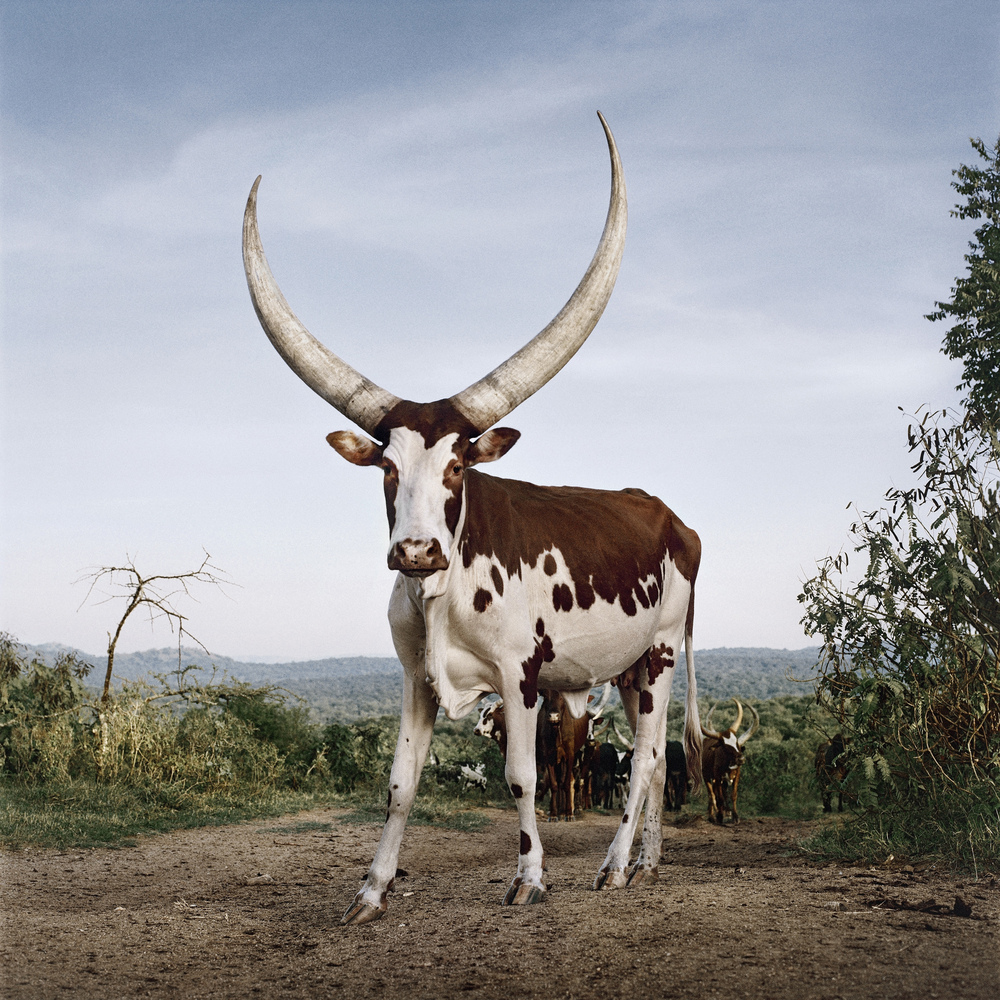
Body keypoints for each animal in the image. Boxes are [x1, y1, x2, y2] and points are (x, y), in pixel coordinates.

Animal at [243, 111, 704, 920]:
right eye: (386, 467)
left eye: (459, 466)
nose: (416, 551)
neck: (444, 591)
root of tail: (671, 517)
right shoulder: (413, 678)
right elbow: (399, 785)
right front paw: (372, 890)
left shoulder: (519, 677)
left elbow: (522, 776)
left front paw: (529, 876)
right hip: (623, 667)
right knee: (646, 765)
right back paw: (645, 863)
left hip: (661, 653)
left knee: (649, 755)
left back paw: (616, 864)